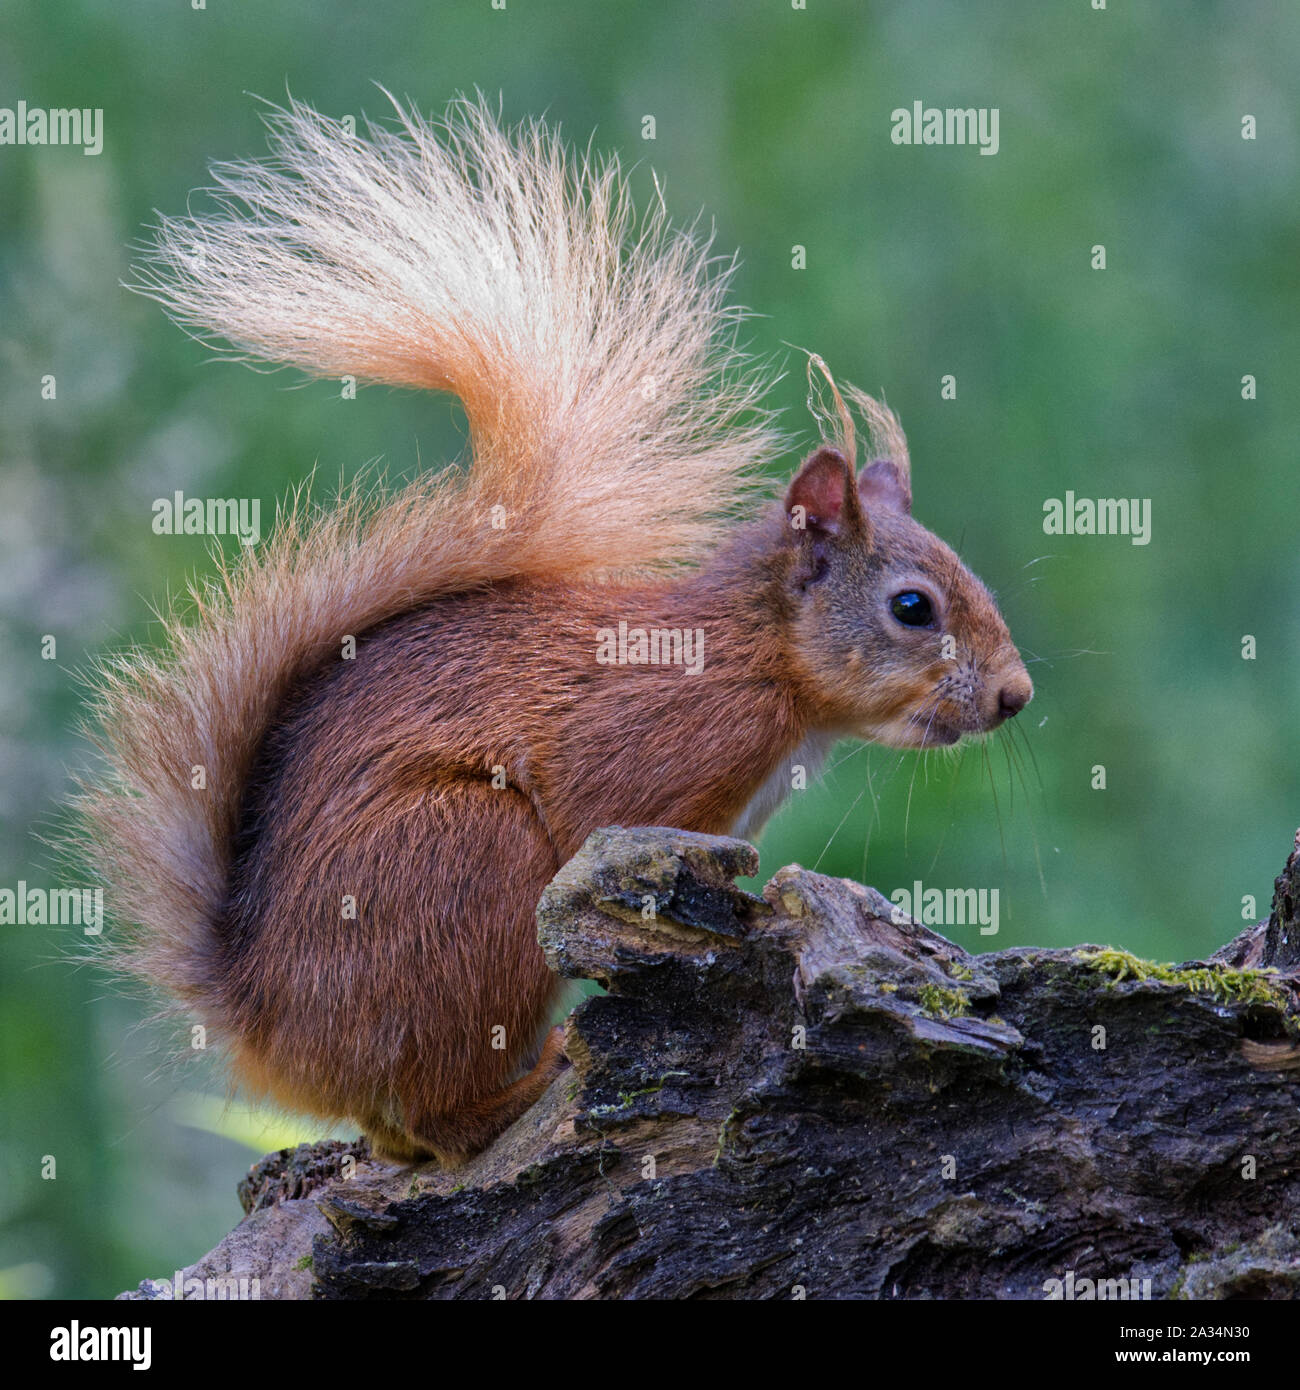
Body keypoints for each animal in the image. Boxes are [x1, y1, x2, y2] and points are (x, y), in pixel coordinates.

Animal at [76, 96, 1033, 1166]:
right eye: (913, 608)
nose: (1015, 696)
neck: (760, 666)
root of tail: (273, 1033)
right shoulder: (655, 742)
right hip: (467, 866)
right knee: (434, 1119)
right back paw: (525, 1085)